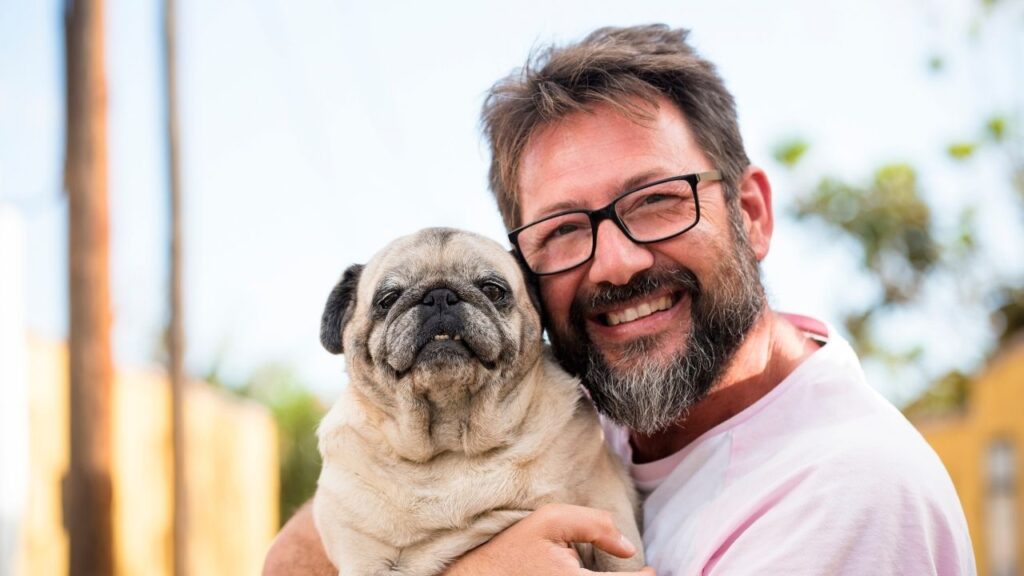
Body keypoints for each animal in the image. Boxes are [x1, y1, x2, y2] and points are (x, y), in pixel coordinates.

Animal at [315, 227, 643, 573]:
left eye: (492, 290)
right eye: (388, 299)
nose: (439, 296)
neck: (451, 448)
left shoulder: (610, 523)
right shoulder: (366, 561)